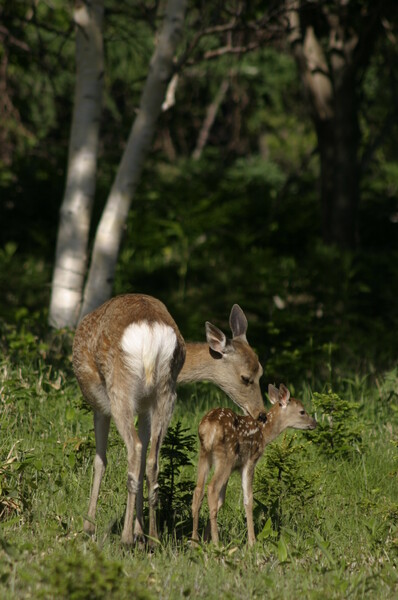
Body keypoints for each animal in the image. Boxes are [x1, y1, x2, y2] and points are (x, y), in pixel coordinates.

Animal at [72, 292, 262, 548]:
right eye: (247, 377)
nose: (261, 413)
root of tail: (151, 335)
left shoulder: (99, 406)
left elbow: (100, 461)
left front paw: (89, 527)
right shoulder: (145, 408)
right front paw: (140, 531)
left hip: (120, 389)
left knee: (135, 450)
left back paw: (126, 538)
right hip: (166, 391)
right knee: (152, 459)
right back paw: (152, 538)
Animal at [191, 382, 316, 548]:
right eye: (302, 411)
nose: (315, 423)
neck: (264, 434)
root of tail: (209, 427)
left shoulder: (234, 467)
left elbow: (221, 501)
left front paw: (206, 538)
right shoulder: (250, 460)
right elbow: (248, 499)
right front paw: (252, 541)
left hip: (205, 454)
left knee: (199, 490)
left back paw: (194, 541)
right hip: (226, 456)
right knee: (211, 488)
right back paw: (217, 544)